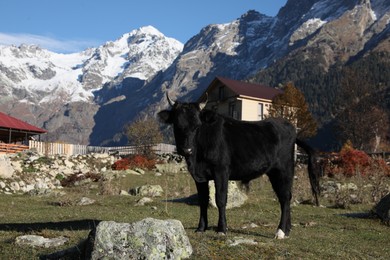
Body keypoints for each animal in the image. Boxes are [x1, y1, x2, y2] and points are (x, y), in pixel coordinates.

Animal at [158, 94, 320, 240]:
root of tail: (289, 127)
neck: (197, 159)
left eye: (197, 125)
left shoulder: (221, 171)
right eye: (177, 125)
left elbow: (220, 199)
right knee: (284, 197)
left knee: (285, 197)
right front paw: (201, 228)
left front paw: (222, 229)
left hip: (284, 169)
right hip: (274, 173)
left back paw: (280, 231)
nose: (187, 150)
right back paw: (287, 230)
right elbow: (203, 200)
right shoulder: (199, 176)